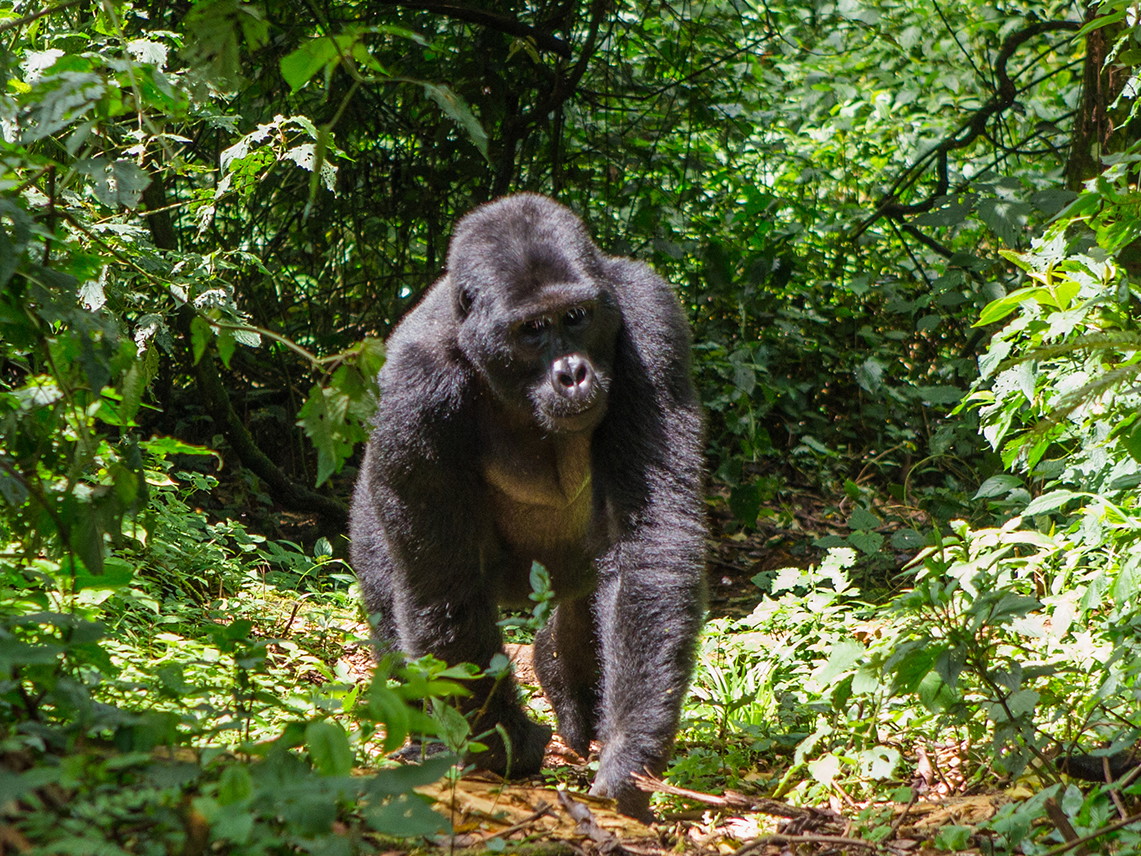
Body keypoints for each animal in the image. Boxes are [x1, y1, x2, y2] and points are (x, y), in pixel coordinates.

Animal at [349, 193, 706, 821]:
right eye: (532, 329)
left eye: (576, 318)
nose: (573, 373)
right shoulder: (414, 390)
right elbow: (445, 585)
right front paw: (505, 747)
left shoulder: (650, 316)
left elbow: (651, 540)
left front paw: (630, 753)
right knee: (394, 595)